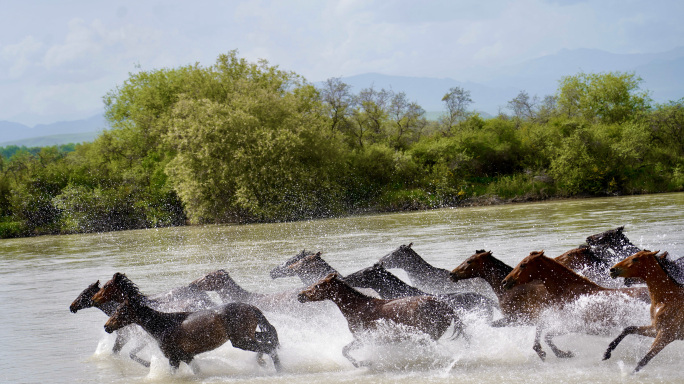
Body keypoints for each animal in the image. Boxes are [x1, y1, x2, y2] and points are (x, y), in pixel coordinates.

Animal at [93, 272, 280, 372]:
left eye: (120, 311)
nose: (106, 326)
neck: (163, 324)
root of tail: (252, 307)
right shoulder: (186, 357)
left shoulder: (174, 358)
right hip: (249, 336)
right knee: (270, 340)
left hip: (241, 340)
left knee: (269, 347)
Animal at [296, 272, 462, 368]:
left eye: (318, 285)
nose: (300, 295)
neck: (357, 307)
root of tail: (448, 307)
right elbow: (344, 350)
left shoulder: (365, 338)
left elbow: (344, 350)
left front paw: (363, 363)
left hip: (429, 334)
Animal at [502, 252, 652, 360]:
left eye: (523, 265)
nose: (505, 282)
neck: (568, 291)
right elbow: (542, 329)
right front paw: (543, 351)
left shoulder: (572, 325)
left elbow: (547, 336)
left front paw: (563, 353)